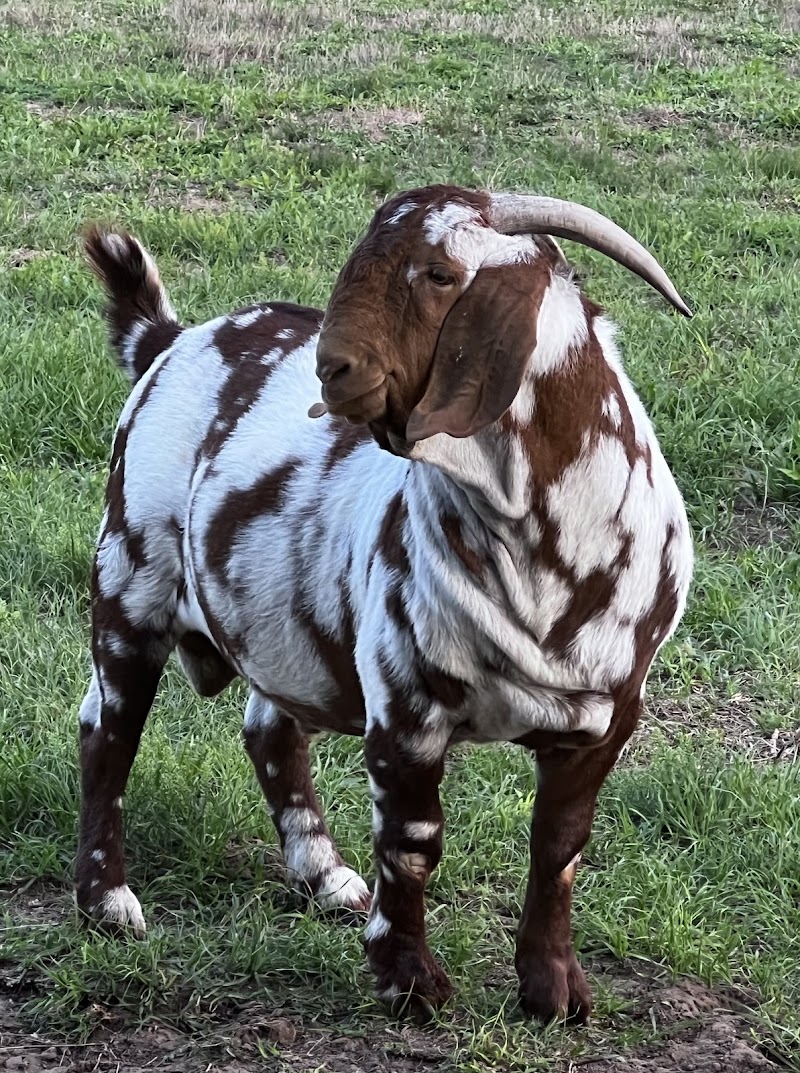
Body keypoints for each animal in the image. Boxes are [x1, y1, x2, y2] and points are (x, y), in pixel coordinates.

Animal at [78, 185, 693, 1024]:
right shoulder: (407, 699)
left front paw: (554, 988)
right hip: (129, 576)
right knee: (107, 730)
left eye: (438, 273)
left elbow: (560, 844)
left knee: (269, 727)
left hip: (282, 624)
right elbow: (413, 839)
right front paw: (409, 977)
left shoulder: (607, 714)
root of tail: (169, 341)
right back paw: (105, 901)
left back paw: (322, 873)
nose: (330, 367)